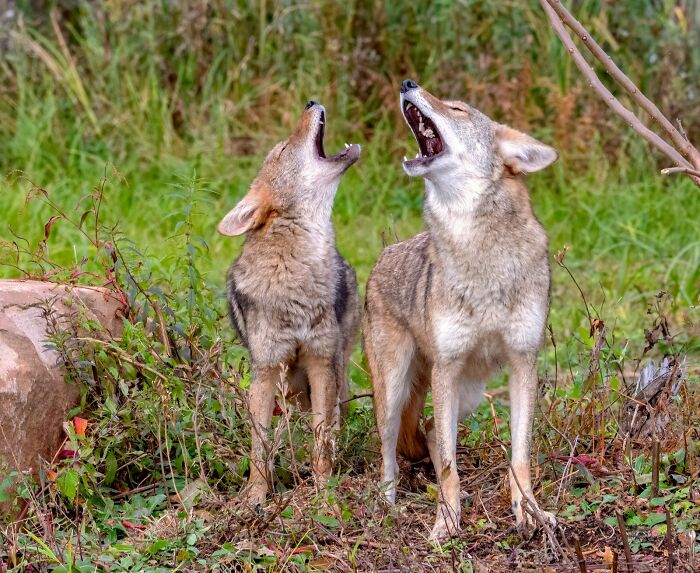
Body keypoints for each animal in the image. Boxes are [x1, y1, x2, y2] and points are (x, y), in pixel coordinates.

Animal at [218, 101, 361, 505]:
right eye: (282, 150)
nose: (311, 102)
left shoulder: (320, 364)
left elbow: (320, 443)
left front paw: (324, 494)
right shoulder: (266, 371)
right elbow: (259, 445)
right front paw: (255, 497)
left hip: (336, 368)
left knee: (334, 421)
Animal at [363, 80, 558, 540]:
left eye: (457, 109)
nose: (408, 83)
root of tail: (384, 254)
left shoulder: (523, 361)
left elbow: (520, 456)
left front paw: (529, 513)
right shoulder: (447, 367)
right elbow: (451, 465)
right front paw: (447, 524)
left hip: (468, 391)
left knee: (434, 431)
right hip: (397, 391)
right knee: (390, 453)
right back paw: (388, 505)